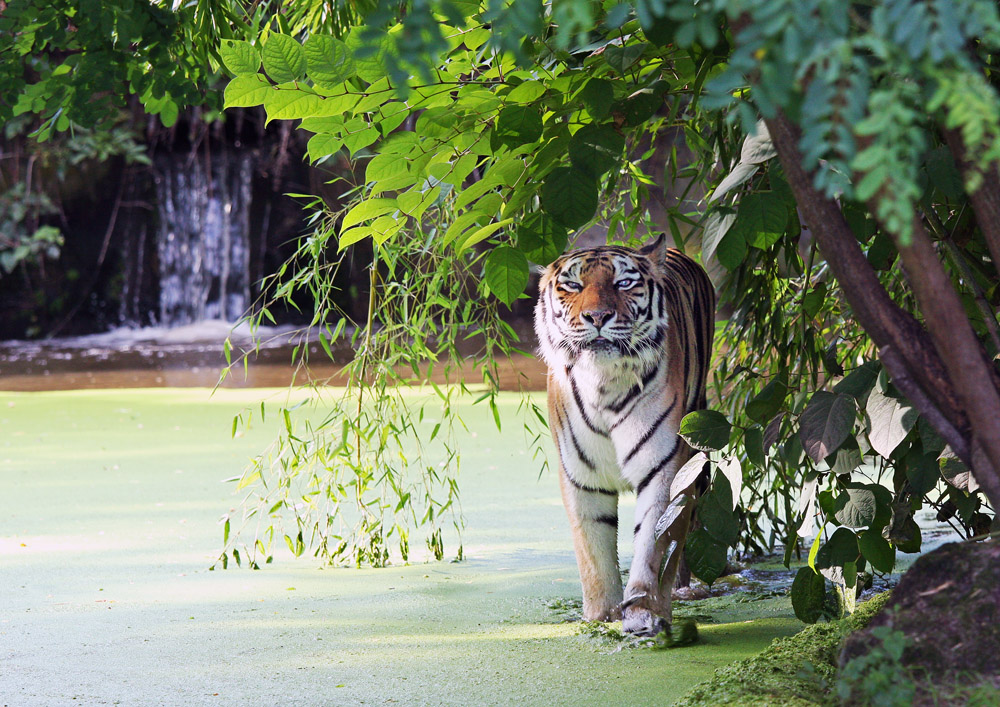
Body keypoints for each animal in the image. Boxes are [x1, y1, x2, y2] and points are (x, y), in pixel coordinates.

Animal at [536, 232, 716, 636]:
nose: (598, 317)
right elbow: (593, 552)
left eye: (623, 283)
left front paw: (644, 613)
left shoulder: (662, 468)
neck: (603, 383)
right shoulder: (581, 477)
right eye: (573, 285)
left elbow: (653, 543)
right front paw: (601, 618)